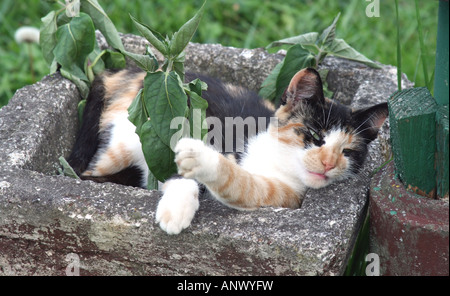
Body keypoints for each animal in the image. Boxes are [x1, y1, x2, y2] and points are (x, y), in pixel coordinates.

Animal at [67, 66, 386, 234]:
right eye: (315, 135)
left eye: (348, 152)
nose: (329, 164)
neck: (276, 158)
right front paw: (177, 207)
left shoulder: (282, 195)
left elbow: (238, 184)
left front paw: (202, 165)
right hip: (125, 137)